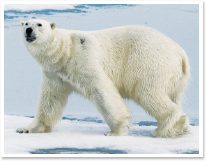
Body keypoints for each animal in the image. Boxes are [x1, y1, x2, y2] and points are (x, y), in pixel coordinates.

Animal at [16, 18, 190, 137]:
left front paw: (116, 130)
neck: (65, 51)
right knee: (171, 96)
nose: (29, 30)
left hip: (148, 62)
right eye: (26, 23)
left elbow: (101, 90)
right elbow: (50, 99)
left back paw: (163, 129)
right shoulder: (54, 73)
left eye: (39, 24)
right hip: (174, 78)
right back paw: (180, 128)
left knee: (148, 93)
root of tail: (180, 53)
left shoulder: (83, 59)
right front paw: (26, 128)